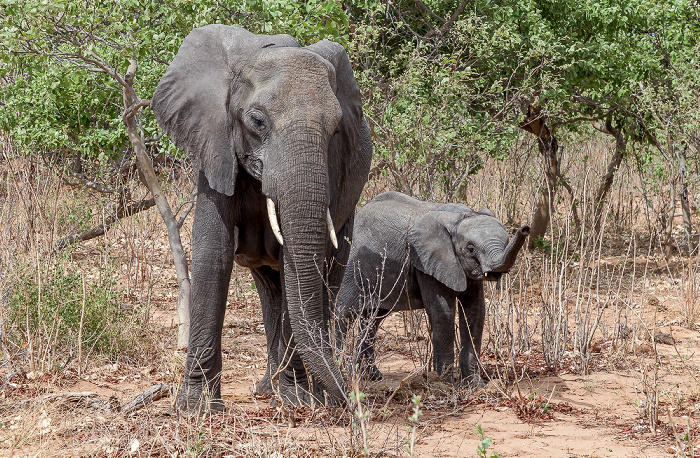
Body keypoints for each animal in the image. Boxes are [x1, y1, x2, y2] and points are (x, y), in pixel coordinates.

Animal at [152, 25, 372, 410]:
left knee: (325, 275)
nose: (349, 400)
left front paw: (297, 401)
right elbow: (213, 254)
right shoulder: (215, 147)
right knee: (270, 287)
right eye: (256, 121)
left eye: (336, 130)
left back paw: (299, 394)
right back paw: (270, 390)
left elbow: (294, 266)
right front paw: (197, 408)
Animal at [336, 191, 528, 384]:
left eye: (506, 241)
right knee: (343, 312)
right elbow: (443, 313)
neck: (460, 217)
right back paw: (342, 373)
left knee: (373, 319)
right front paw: (447, 383)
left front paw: (474, 385)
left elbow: (475, 312)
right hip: (352, 266)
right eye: (471, 249)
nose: (526, 228)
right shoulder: (425, 264)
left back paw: (371, 377)